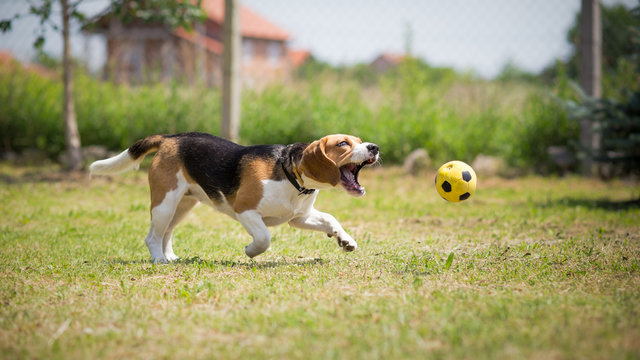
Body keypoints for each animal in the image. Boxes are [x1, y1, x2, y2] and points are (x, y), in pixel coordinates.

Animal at [90, 134, 380, 262]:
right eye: (343, 144)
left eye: (359, 140)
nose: (374, 147)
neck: (290, 173)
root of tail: (169, 138)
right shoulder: (245, 210)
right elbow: (264, 237)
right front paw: (250, 251)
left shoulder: (299, 217)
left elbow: (330, 218)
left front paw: (345, 240)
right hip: (165, 202)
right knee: (152, 236)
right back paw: (159, 260)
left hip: (182, 205)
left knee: (166, 233)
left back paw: (169, 256)